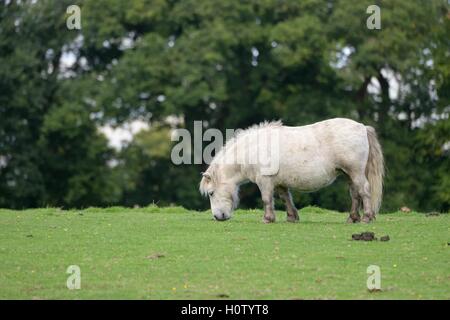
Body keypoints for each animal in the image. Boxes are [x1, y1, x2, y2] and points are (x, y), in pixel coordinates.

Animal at [199, 117, 384, 222]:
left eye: (211, 193)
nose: (217, 217)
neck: (253, 149)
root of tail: (362, 127)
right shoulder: (280, 183)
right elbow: (285, 198)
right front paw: (291, 217)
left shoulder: (265, 181)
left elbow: (267, 199)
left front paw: (268, 218)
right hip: (349, 174)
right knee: (355, 195)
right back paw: (353, 218)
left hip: (356, 172)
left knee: (364, 191)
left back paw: (367, 217)